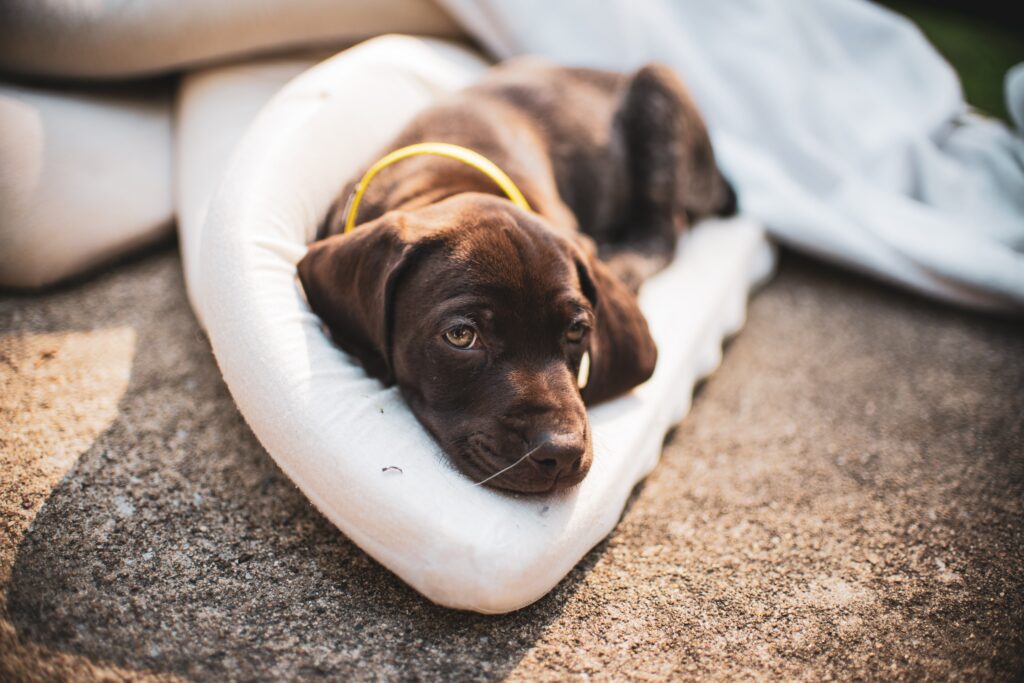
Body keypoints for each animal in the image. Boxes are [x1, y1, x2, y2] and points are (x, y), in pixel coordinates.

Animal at [296, 58, 737, 493]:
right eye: (461, 336)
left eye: (577, 330)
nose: (561, 452)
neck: (446, 183)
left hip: (657, 84)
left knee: (667, 226)